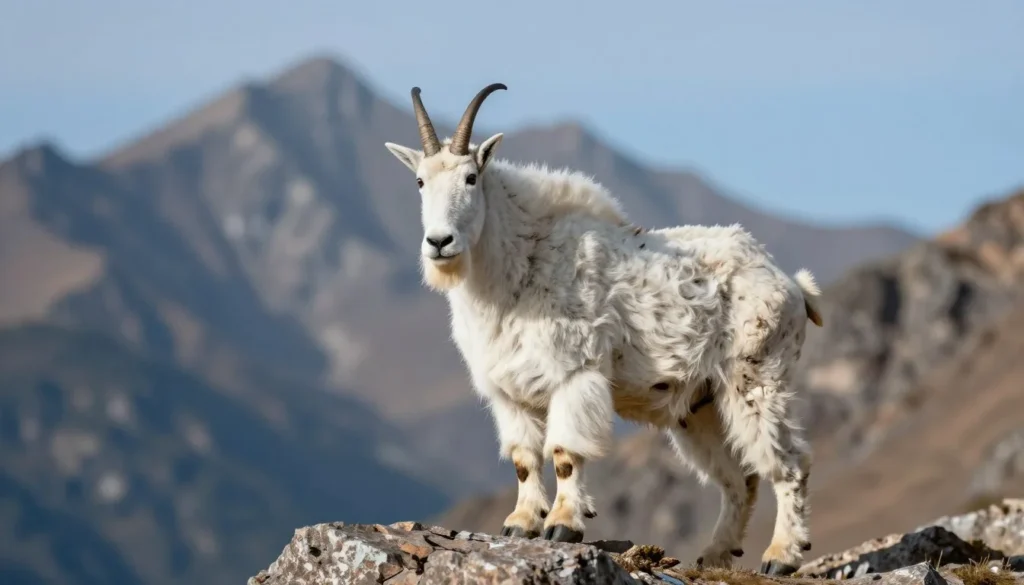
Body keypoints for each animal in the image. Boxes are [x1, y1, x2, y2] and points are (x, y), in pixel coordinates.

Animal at [383, 83, 824, 576]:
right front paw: (520, 523)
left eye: (471, 178)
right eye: (420, 181)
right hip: (701, 406)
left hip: (757, 379)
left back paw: (781, 556)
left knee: (789, 463)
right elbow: (522, 458)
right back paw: (714, 555)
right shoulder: (509, 392)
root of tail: (794, 284)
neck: (518, 266)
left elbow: (564, 454)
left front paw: (563, 525)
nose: (439, 242)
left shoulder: (574, 374)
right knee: (739, 477)